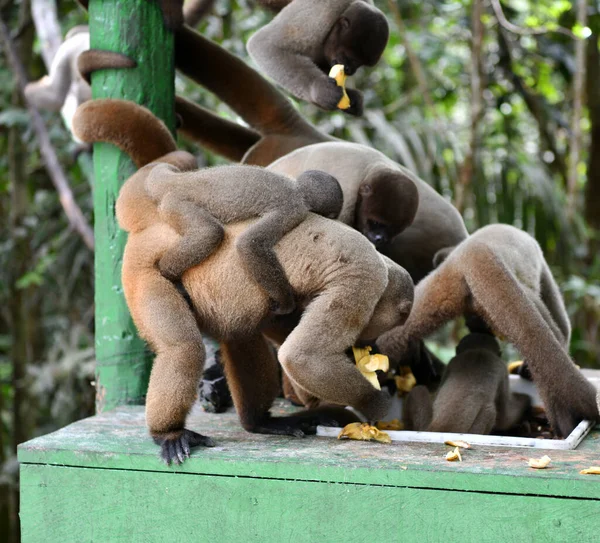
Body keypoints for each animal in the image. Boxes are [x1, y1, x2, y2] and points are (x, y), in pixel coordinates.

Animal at [72, 98, 414, 464]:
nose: (367, 341)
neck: (384, 267)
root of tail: (151, 225)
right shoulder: (362, 281)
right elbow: (302, 356)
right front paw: (375, 405)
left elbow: (280, 325)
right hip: (143, 273)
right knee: (184, 348)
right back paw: (168, 432)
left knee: (241, 333)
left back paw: (260, 422)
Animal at [245, 0, 390, 115]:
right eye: (353, 59)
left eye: (360, 64)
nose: (350, 70)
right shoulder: (322, 13)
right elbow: (264, 43)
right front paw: (320, 90)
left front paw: (352, 97)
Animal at [378, 225, 596, 438]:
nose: (477, 324)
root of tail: (474, 253)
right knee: (544, 344)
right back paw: (562, 426)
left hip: (437, 287)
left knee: (392, 337)